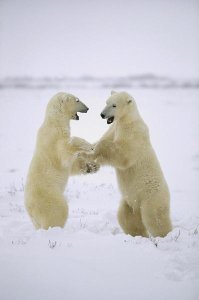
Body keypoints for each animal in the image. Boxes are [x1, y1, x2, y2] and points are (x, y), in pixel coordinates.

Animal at [24, 92, 98, 230]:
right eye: (77, 100)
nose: (87, 108)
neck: (55, 121)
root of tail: (31, 211)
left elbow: (72, 165)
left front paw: (91, 167)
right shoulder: (54, 139)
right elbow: (65, 151)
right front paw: (90, 146)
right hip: (50, 198)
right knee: (58, 211)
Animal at [81, 91, 173, 237]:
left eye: (114, 105)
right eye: (106, 102)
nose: (102, 114)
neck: (127, 120)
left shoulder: (133, 133)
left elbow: (122, 154)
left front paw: (98, 149)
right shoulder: (114, 128)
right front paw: (88, 157)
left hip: (151, 196)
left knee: (155, 217)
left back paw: (165, 236)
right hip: (129, 202)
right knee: (126, 218)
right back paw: (138, 234)